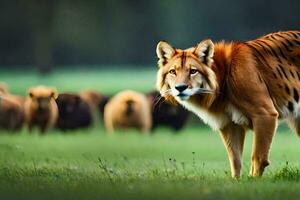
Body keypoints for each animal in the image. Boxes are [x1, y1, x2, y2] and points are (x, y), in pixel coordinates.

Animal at [156, 30, 300, 177]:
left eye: (193, 71)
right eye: (173, 71)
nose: (180, 88)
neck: (222, 78)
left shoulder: (265, 114)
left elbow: (258, 157)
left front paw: (253, 179)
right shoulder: (230, 124)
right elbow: (235, 160)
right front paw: (236, 180)